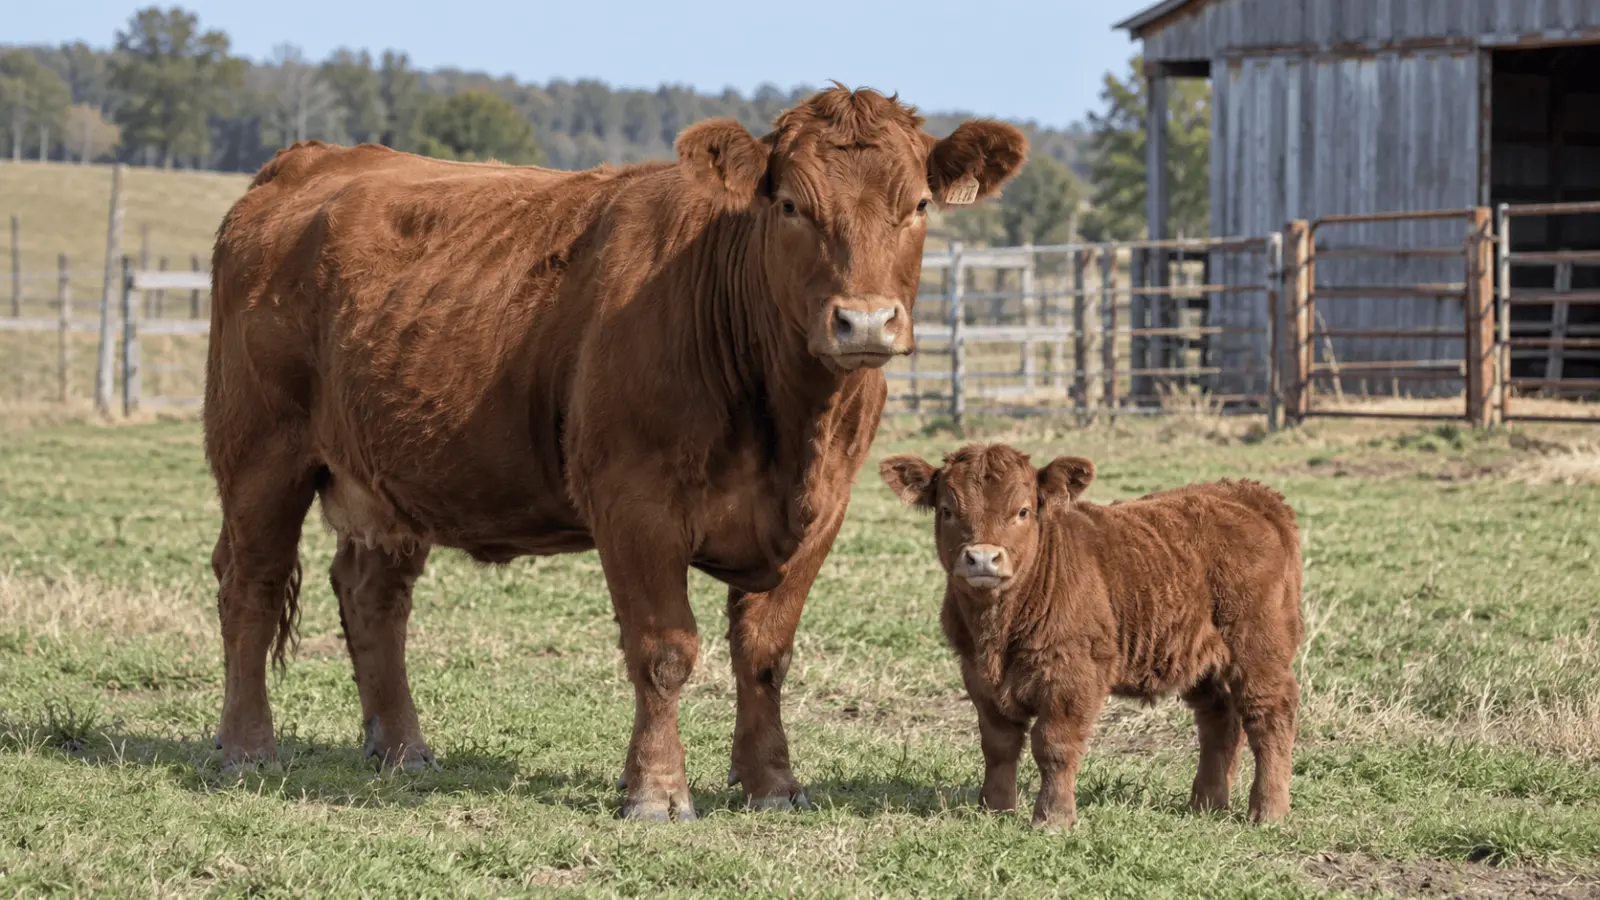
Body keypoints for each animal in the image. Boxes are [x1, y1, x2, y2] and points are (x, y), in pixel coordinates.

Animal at [203, 85, 1027, 821]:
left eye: (917, 205)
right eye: (791, 204)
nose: (864, 321)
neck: (791, 422)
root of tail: (310, 160)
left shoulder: (822, 512)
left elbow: (766, 654)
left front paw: (772, 784)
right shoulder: (635, 504)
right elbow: (664, 651)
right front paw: (658, 792)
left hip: (389, 477)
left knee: (374, 596)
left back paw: (403, 748)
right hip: (260, 453)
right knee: (250, 586)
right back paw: (246, 747)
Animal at [878, 443, 1304, 829]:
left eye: (1023, 511)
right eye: (947, 510)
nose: (983, 558)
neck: (996, 634)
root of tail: (1247, 493)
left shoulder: (1074, 673)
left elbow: (1054, 745)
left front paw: (1052, 819)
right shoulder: (977, 675)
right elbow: (998, 744)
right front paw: (994, 810)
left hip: (1259, 649)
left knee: (1270, 717)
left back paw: (1268, 811)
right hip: (1201, 658)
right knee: (1219, 721)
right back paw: (1207, 804)